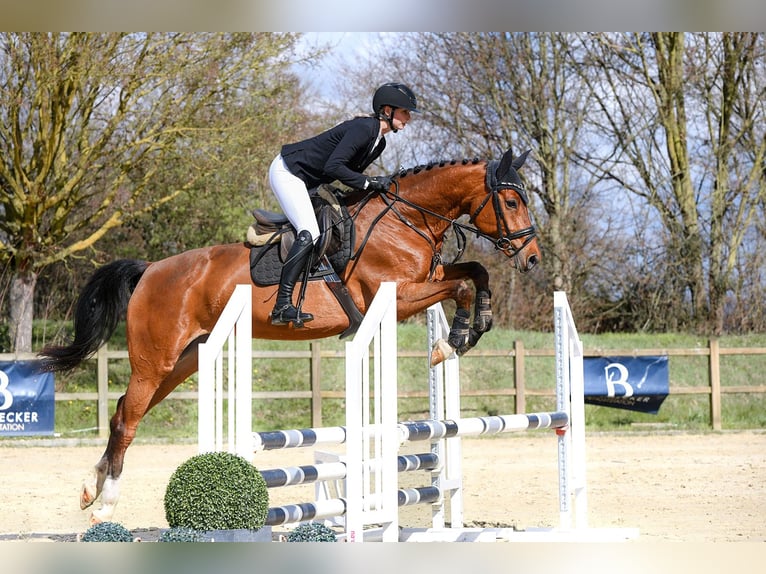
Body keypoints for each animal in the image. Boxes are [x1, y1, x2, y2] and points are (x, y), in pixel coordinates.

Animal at [39, 146, 540, 524]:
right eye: (512, 202)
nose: (532, 258)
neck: (406, 220)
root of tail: (150, 269)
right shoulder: (395, 298)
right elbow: (461, 286)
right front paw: (451, 341)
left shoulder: (425, 282)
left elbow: (473, 273)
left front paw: (480, 323)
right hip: (156, 357)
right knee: (127, 418)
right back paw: (105, 506)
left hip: (184, 360)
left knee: (125, 410)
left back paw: (89, 488)